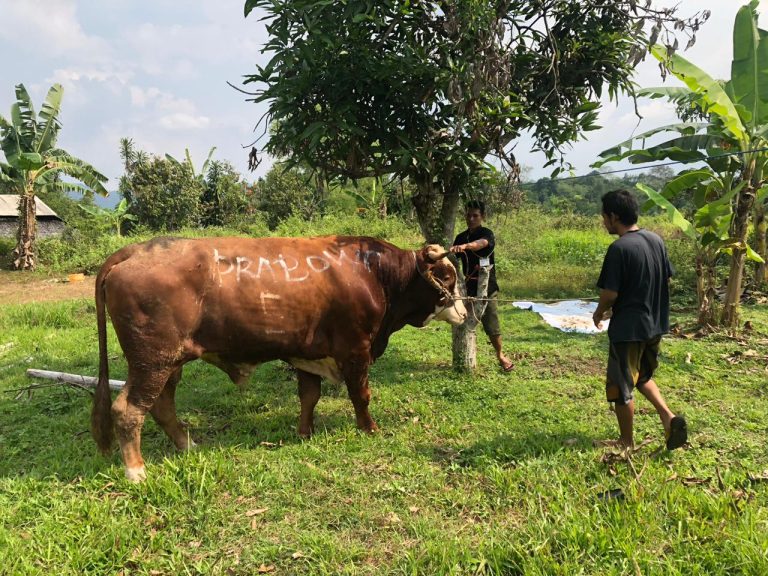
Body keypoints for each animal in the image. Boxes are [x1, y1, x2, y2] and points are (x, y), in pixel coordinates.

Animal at [94, 234, 468, 482]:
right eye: (447, 276)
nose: (466, 312)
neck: (373, 272)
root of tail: (135, 250)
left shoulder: (309, 354)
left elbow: (309, 396)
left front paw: (305, 432)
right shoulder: (356, 349)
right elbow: (360, 395)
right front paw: (369, 428)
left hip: (167, 363)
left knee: (161, 406)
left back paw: (188, 445)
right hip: (152, 361)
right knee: (128, 410)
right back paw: (136, 470)